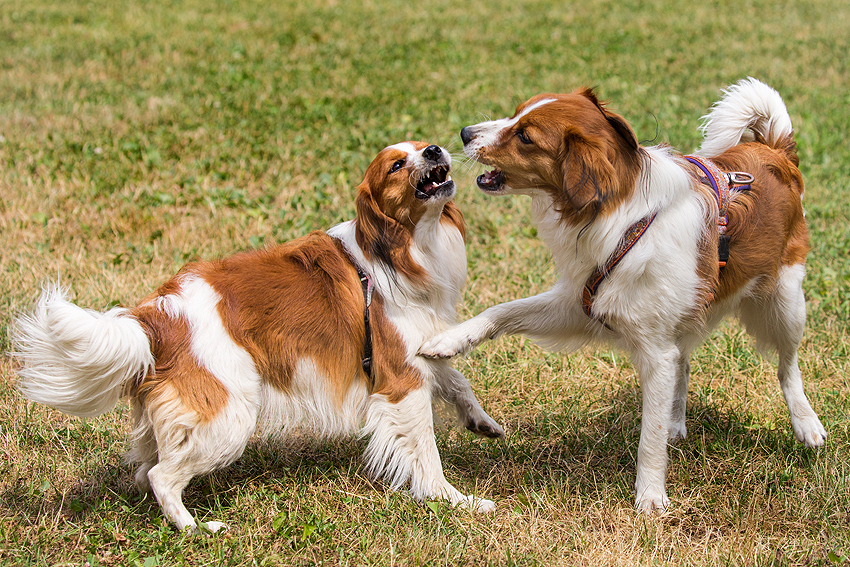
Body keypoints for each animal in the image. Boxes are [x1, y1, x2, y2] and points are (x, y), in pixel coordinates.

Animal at [14, 142, 504, 532]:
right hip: (228, 417)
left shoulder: (422, 349)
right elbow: (426, 453)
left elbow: (457, 381)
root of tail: (155, 314)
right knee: (161, 477)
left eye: (423, 145)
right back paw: (195, 529)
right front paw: (455, 501)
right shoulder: (401, 378)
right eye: (397, 165)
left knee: (148, 468)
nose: (436, 150)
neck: (401, 248)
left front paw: (481, 422)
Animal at [420, 79, 824, 510]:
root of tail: (774, 150)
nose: (465, 133)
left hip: (785, 302)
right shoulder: (581, 302)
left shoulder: (653, 350)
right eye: (516, 113)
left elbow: (650, 436)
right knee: (684, 363)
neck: (620, 217)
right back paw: (677, 420)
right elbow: (502, 311)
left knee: (787, 366)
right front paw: (450, 339)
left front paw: (650, 496)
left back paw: (806, 423)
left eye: (526, 136)